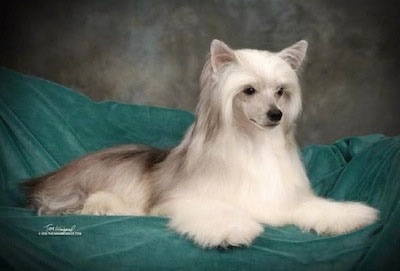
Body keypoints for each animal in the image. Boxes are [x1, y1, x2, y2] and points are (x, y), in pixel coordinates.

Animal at [25, 39, 378, 250]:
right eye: (249, 91)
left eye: (280, 91)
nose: (276, 114)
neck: (252, 144)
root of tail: (49, 178)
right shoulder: (189, 199)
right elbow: (215, 211)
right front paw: (231, 229)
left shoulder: (284, 200)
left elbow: (314, 207)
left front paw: (350, 215)